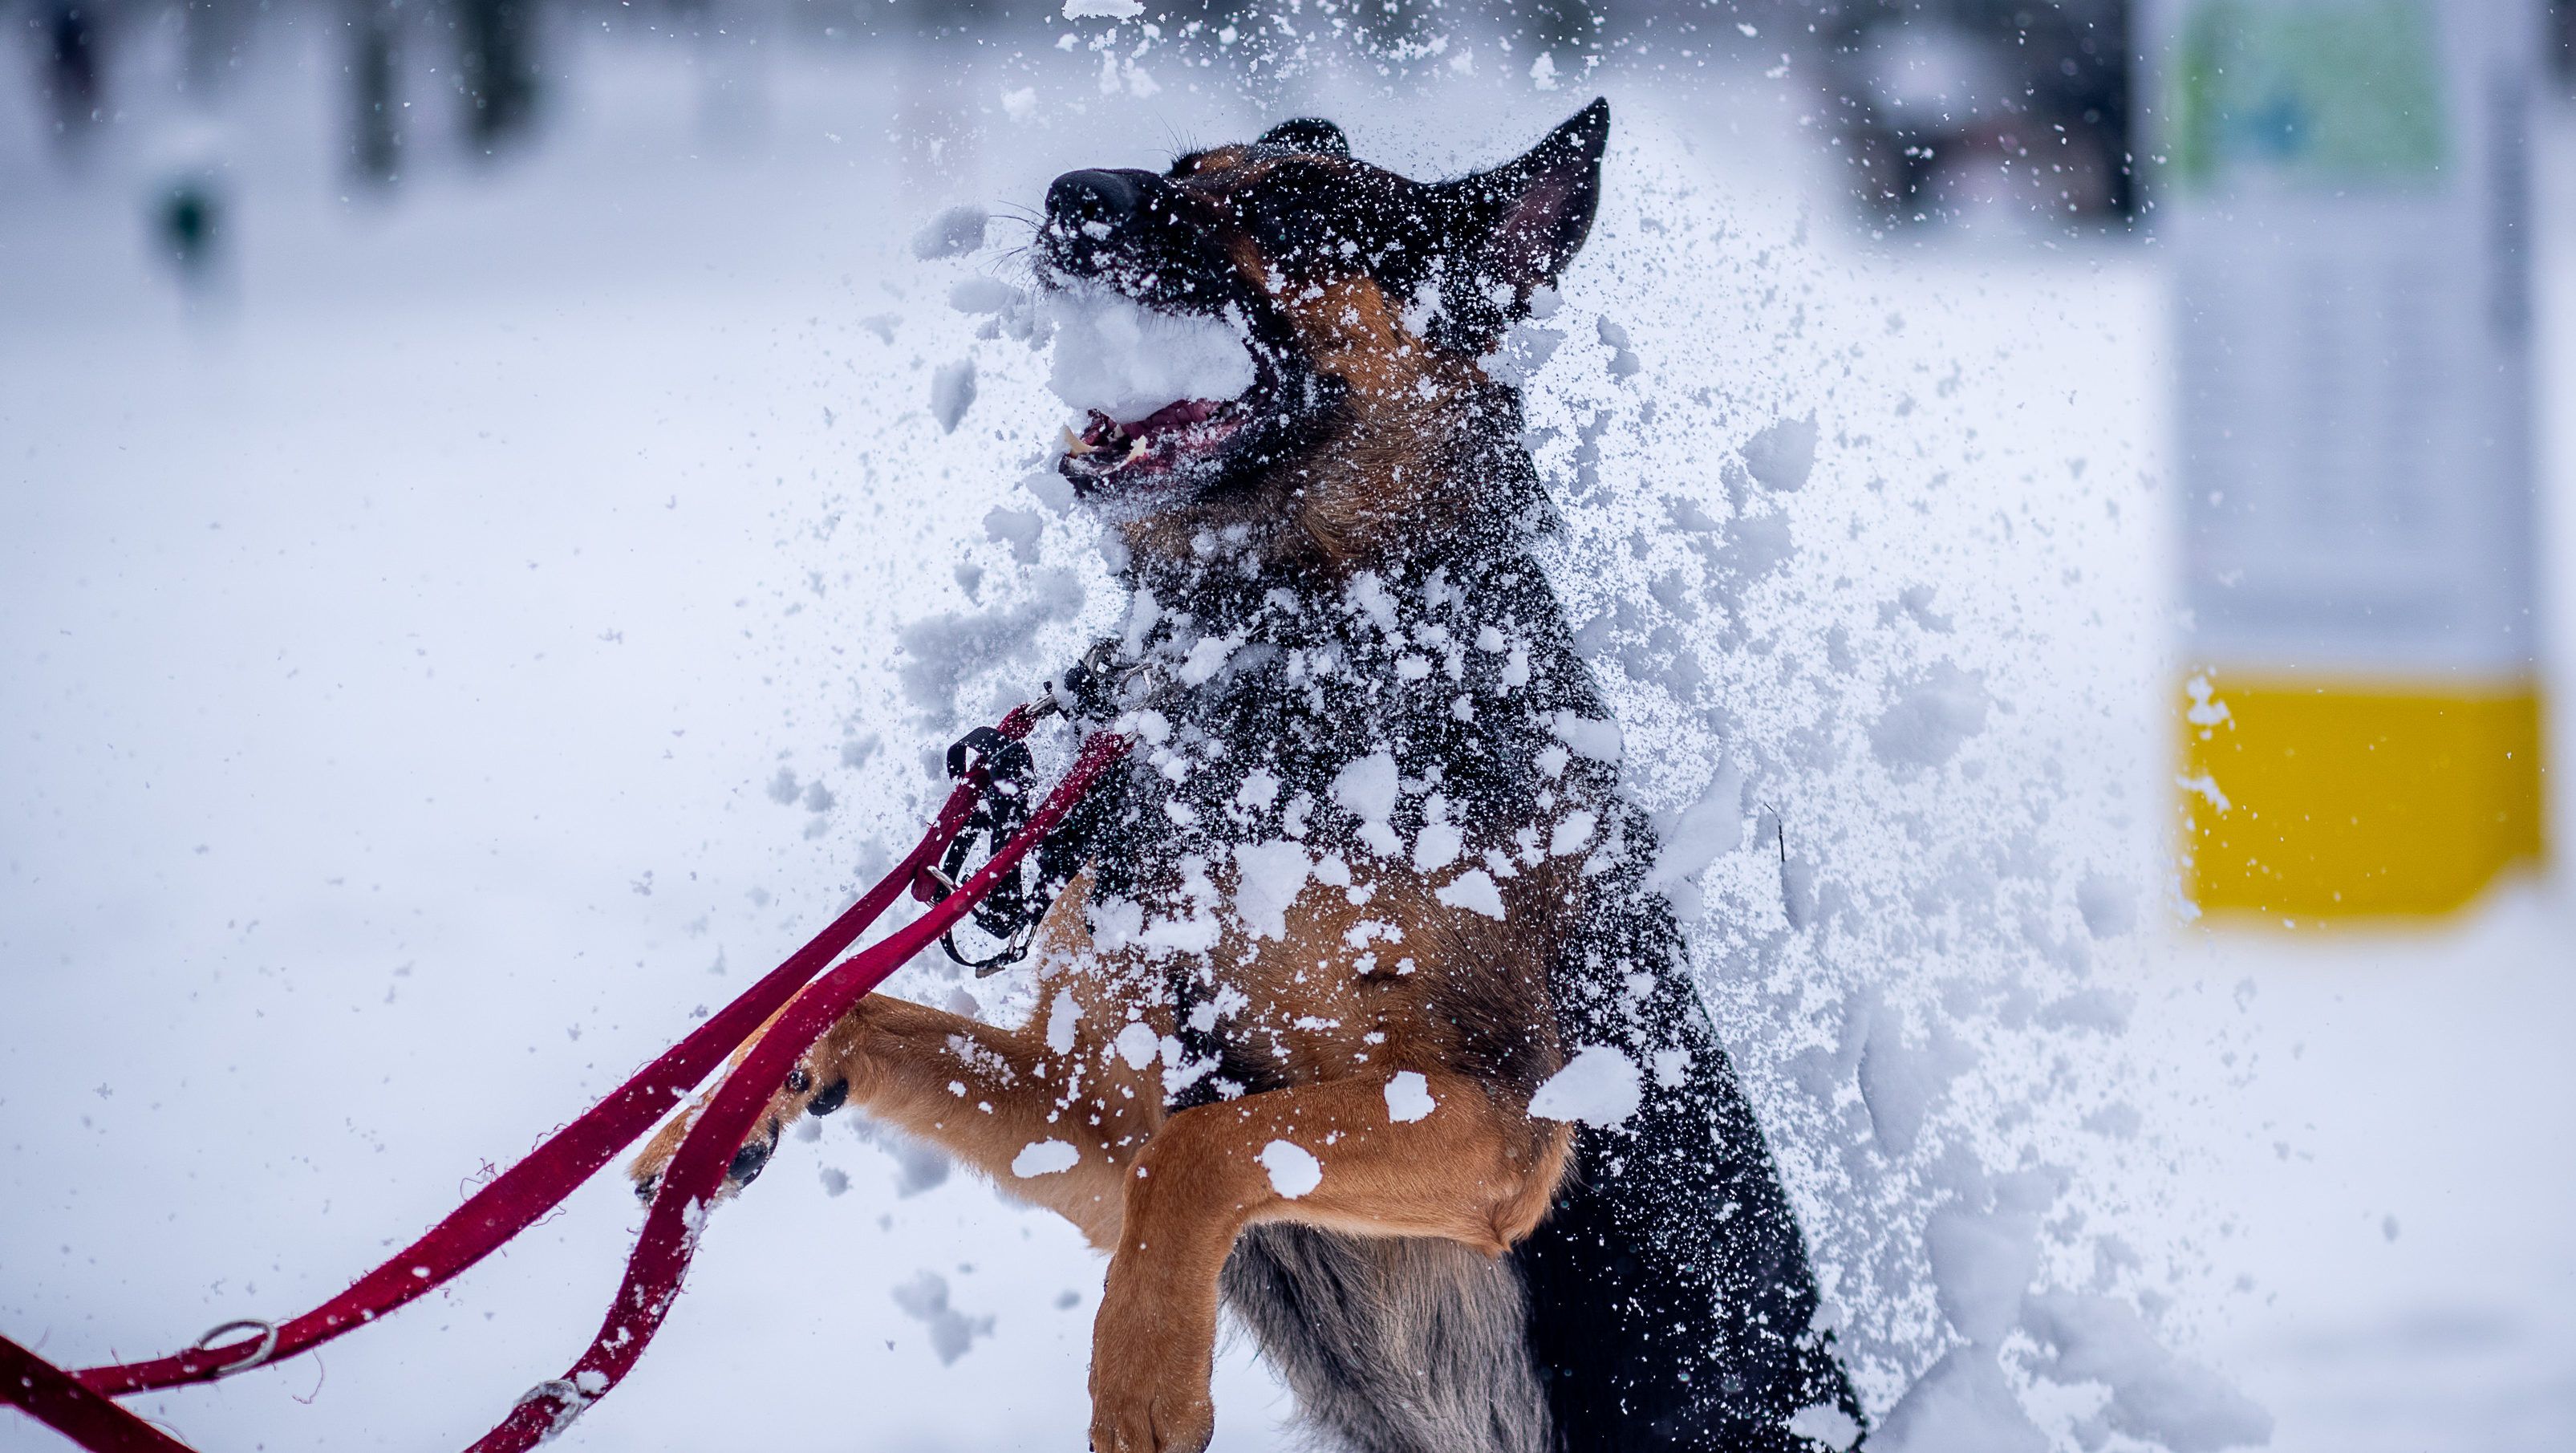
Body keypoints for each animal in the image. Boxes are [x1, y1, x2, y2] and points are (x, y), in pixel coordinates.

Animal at [633, 102, 1864, 1453]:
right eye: (1183, 169)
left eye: (1289, 217)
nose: (1071, 192)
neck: (1279, 642)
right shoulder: (1090, 1123)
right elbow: (857, 1011)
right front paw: (714, 1118)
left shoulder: (1502, 1123)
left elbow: (1207, 1147)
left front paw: (1143, 1377)